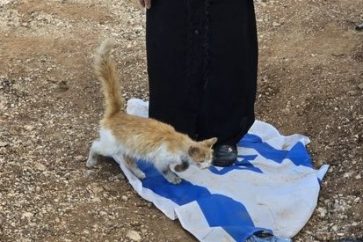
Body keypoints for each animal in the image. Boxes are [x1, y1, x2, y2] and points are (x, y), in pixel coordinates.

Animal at [86, 39, 216, 183]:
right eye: (202, 160)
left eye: (209, 160)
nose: (207, 167)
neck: (180, 143)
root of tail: (116, 114)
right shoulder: (161, 159)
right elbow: (166, 170)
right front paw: (173, 177)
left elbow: (184, 164)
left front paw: (179, 168)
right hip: (110, 147)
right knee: (95, 144)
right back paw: (91, 161)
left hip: (129, 148)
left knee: (127, 160)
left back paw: (138, 173)